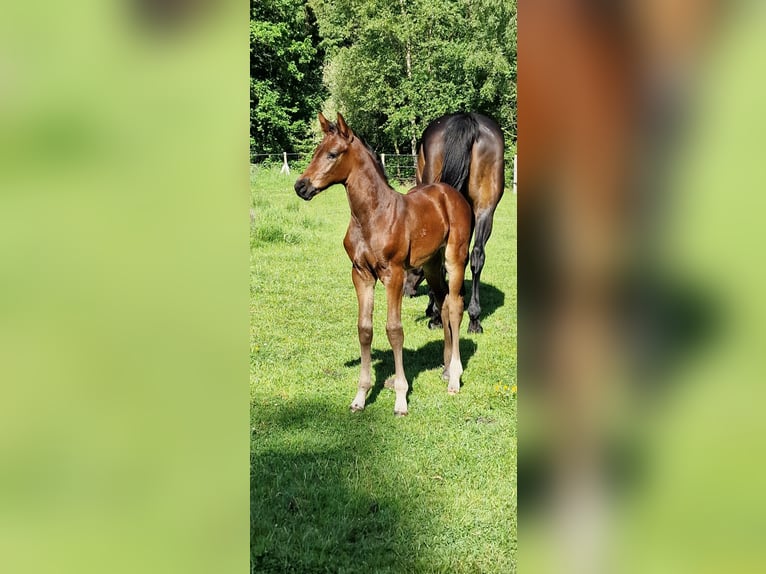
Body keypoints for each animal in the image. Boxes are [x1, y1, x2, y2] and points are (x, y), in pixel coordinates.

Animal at [294, 113, 473, 416]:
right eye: (316, 151)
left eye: (332, 154)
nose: (301, 186)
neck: (372, 216)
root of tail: (451, 193)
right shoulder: (361, 274)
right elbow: (364, 329)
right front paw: (360, 396)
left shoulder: (394, 274)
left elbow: (394, 330)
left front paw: (401, 399)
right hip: (431, 264)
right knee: (443, 302)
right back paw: (447, 369)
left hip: (455, 258)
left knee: (456, 306)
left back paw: (456, 378)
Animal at [403, 112, 505, 334]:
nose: (406, 291)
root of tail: (467, 118)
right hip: (485, 209)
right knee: (477, 255)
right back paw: (474, 318)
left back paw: (436, 315)